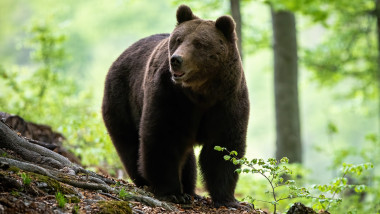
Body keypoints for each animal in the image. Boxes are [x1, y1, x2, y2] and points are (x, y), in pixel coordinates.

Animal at [101, 5, 249, 208]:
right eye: (178, 39)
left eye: (199, 43)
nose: (176, 59)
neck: (201, 92)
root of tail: (120, 56)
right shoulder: (171, 97)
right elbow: (163, 137)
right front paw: (171, 192)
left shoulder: (227, 101)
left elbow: (223, 146)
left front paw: (228, 199)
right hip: (122, 98)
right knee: (129, 144)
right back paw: (150, 183)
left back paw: (189, 191)